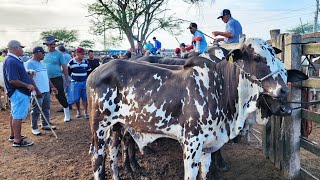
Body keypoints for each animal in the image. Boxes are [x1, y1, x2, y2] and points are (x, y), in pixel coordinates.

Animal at [87, 37, 308, 179]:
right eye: (258, 58)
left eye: (277, 59)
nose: (283, 90)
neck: (218, 87)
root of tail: (97, 70)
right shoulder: (191, 145)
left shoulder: (208, 147)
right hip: (99, 129)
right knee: (98, 161)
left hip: (117, 127)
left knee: (114, 156)